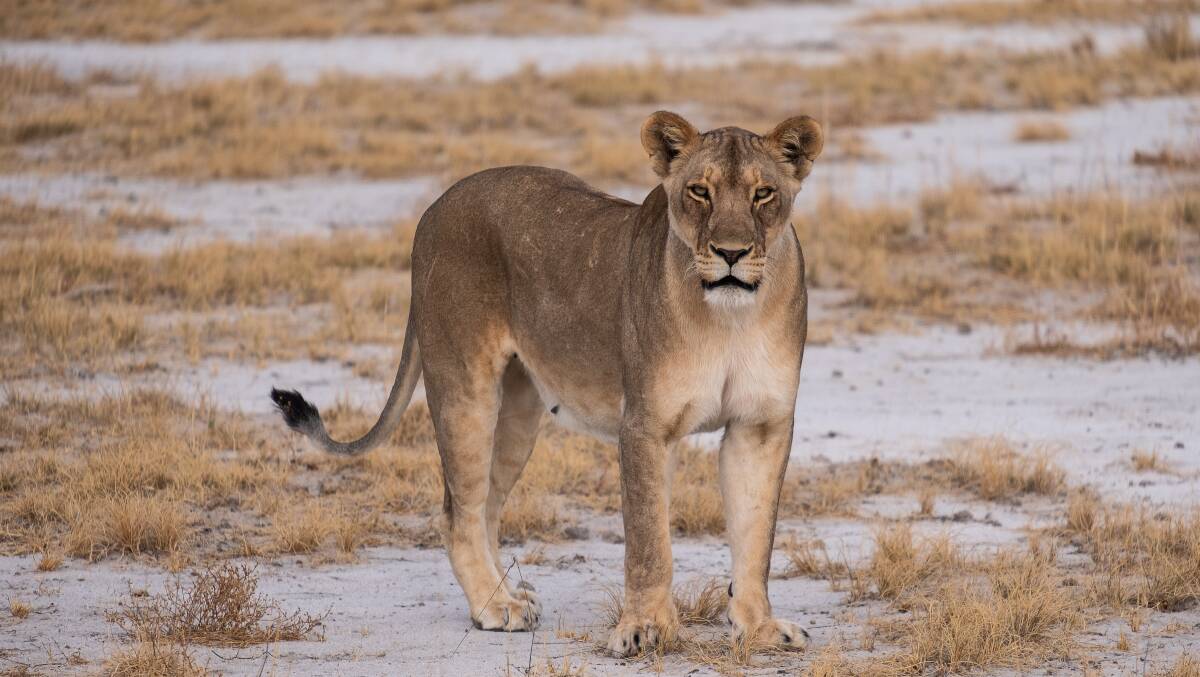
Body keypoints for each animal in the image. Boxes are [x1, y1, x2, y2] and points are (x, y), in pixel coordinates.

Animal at [270, 110, 823, 656]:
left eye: (763, 193)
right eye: (699, 191)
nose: (731, 253)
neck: (730, 320)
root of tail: (435, 207)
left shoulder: (761, 426)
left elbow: (755, 537)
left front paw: (760, 629)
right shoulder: (645, 426)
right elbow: (649, 541)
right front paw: (646, 629)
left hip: (518, 412)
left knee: (487, 507)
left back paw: (507, 594)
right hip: (464, 389)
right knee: (458, 511)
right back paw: (495, 607)